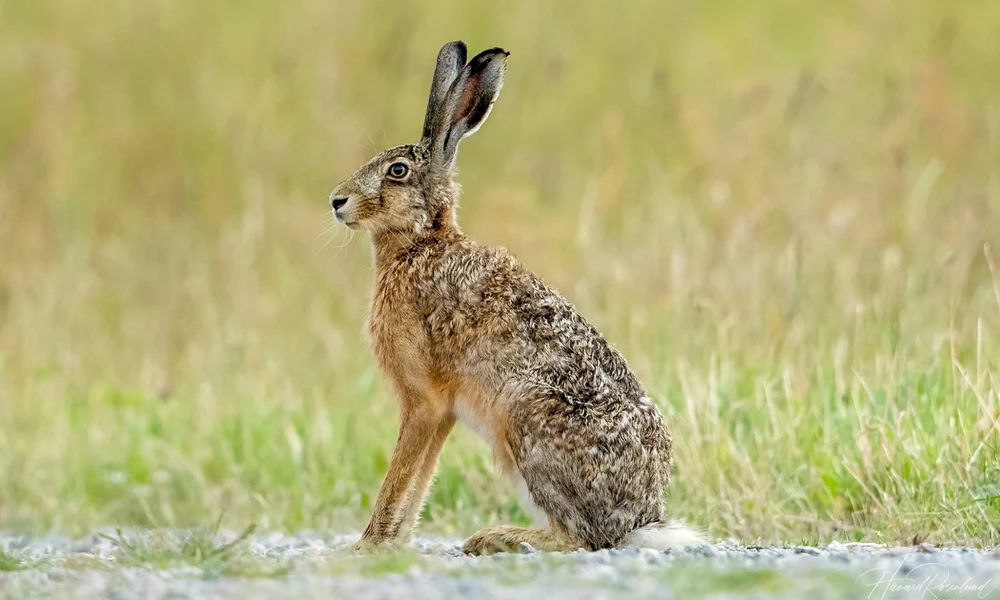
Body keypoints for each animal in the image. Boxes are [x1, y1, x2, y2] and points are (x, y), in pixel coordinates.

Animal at [328, 41, 701, 555]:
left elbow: (400, 475)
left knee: (579, 538)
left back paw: (494, 537)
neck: (422, 244)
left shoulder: (423, 400)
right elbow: (419, 480)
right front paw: (393, 542)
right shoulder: (443, 412)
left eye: (396, 171)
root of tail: (640, 519)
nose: (336, 201)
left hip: (525, 416)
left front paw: (365, 546)